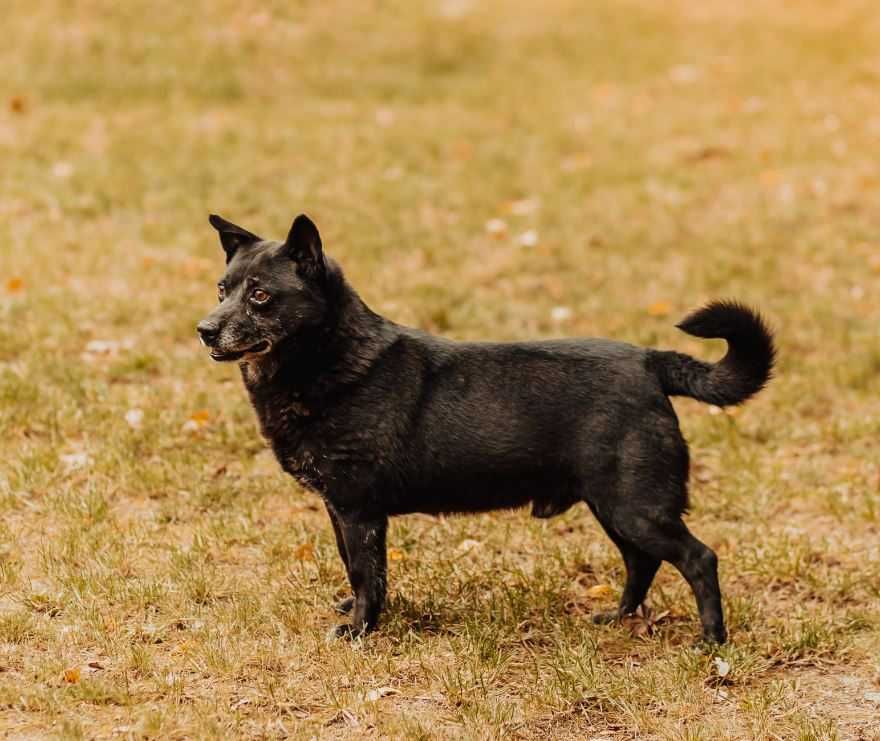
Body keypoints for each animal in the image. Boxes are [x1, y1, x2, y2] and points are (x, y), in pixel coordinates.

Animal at [196, 214, 772, 640]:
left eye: (260, 295)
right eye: (222, 289)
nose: (204, 330)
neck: (328, 362)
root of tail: (650, 362)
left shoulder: (359, 511)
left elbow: (365, 575)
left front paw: (360, 630)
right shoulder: (339, 509)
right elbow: (357, 570)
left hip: (636, 507)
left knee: (699, 558)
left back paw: (712, 641)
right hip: (615, 508)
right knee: (641, 564)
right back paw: (616, 618)